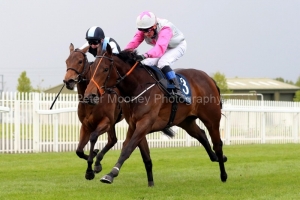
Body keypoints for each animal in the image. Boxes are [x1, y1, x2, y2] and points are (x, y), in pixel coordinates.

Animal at [83, 43, 226, 186]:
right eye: (92, 68)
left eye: (105, 69)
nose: (89, 96)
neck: (138, 87)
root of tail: (209, 78)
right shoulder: (135, 125)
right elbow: (144, 155)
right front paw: (151, 183)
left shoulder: (144, 123)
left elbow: (127, 149)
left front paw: (111, 174)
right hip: (185, 121)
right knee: (201, 134)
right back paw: (217, 157)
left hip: (212, 119)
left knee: (218, 144)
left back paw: (223, 174)